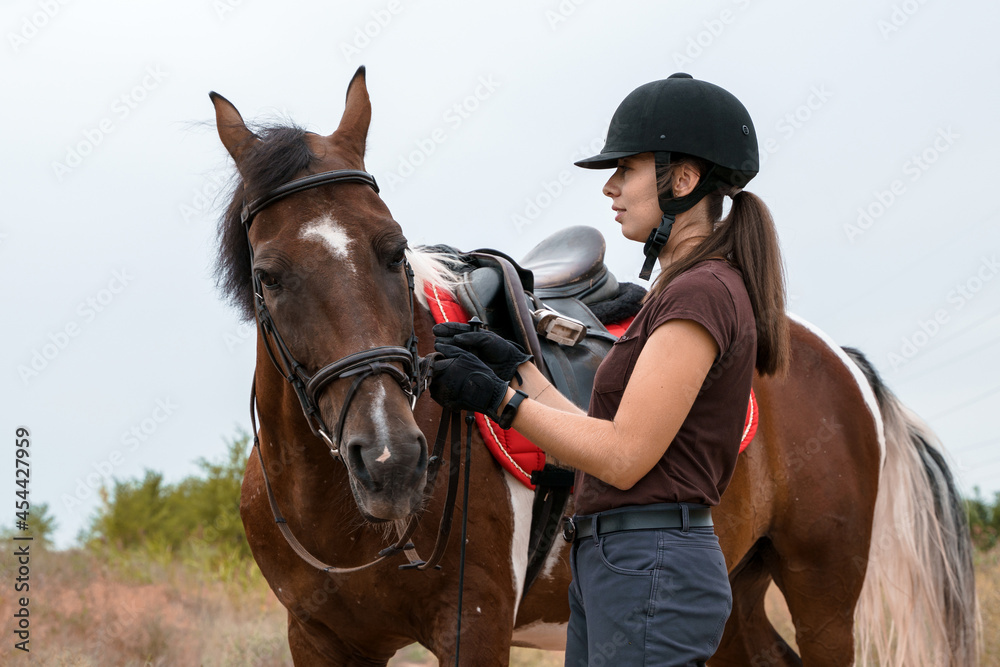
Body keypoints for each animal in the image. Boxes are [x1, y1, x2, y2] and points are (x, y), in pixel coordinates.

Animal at [210, 67, 977, 666]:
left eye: (393, 249)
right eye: (269, 275)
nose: (392, 460)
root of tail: (832, 354)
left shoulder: (473, 625)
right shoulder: (319, 638)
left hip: (823, 594)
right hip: (736, 593)